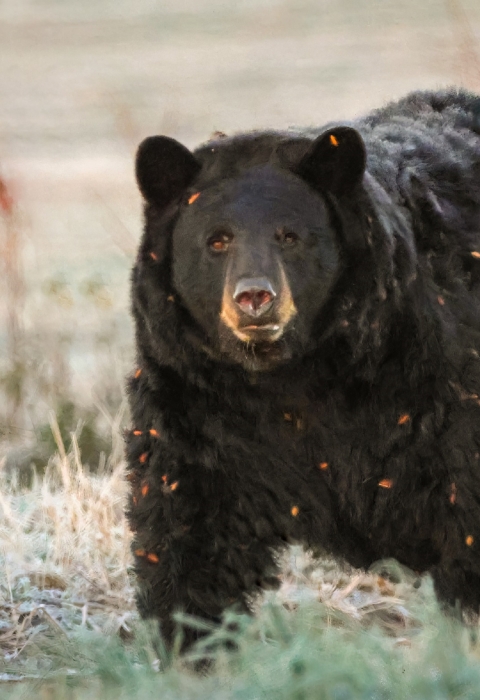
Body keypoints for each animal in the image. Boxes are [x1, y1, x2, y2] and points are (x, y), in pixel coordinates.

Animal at [126, 89, 480, 650]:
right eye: (217, 240)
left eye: (290, 236)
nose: (254, 298)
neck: (292, 375)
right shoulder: (193, 399)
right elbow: (187, 524)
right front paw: (191, 642)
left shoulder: (436, 381)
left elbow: (464, 505)